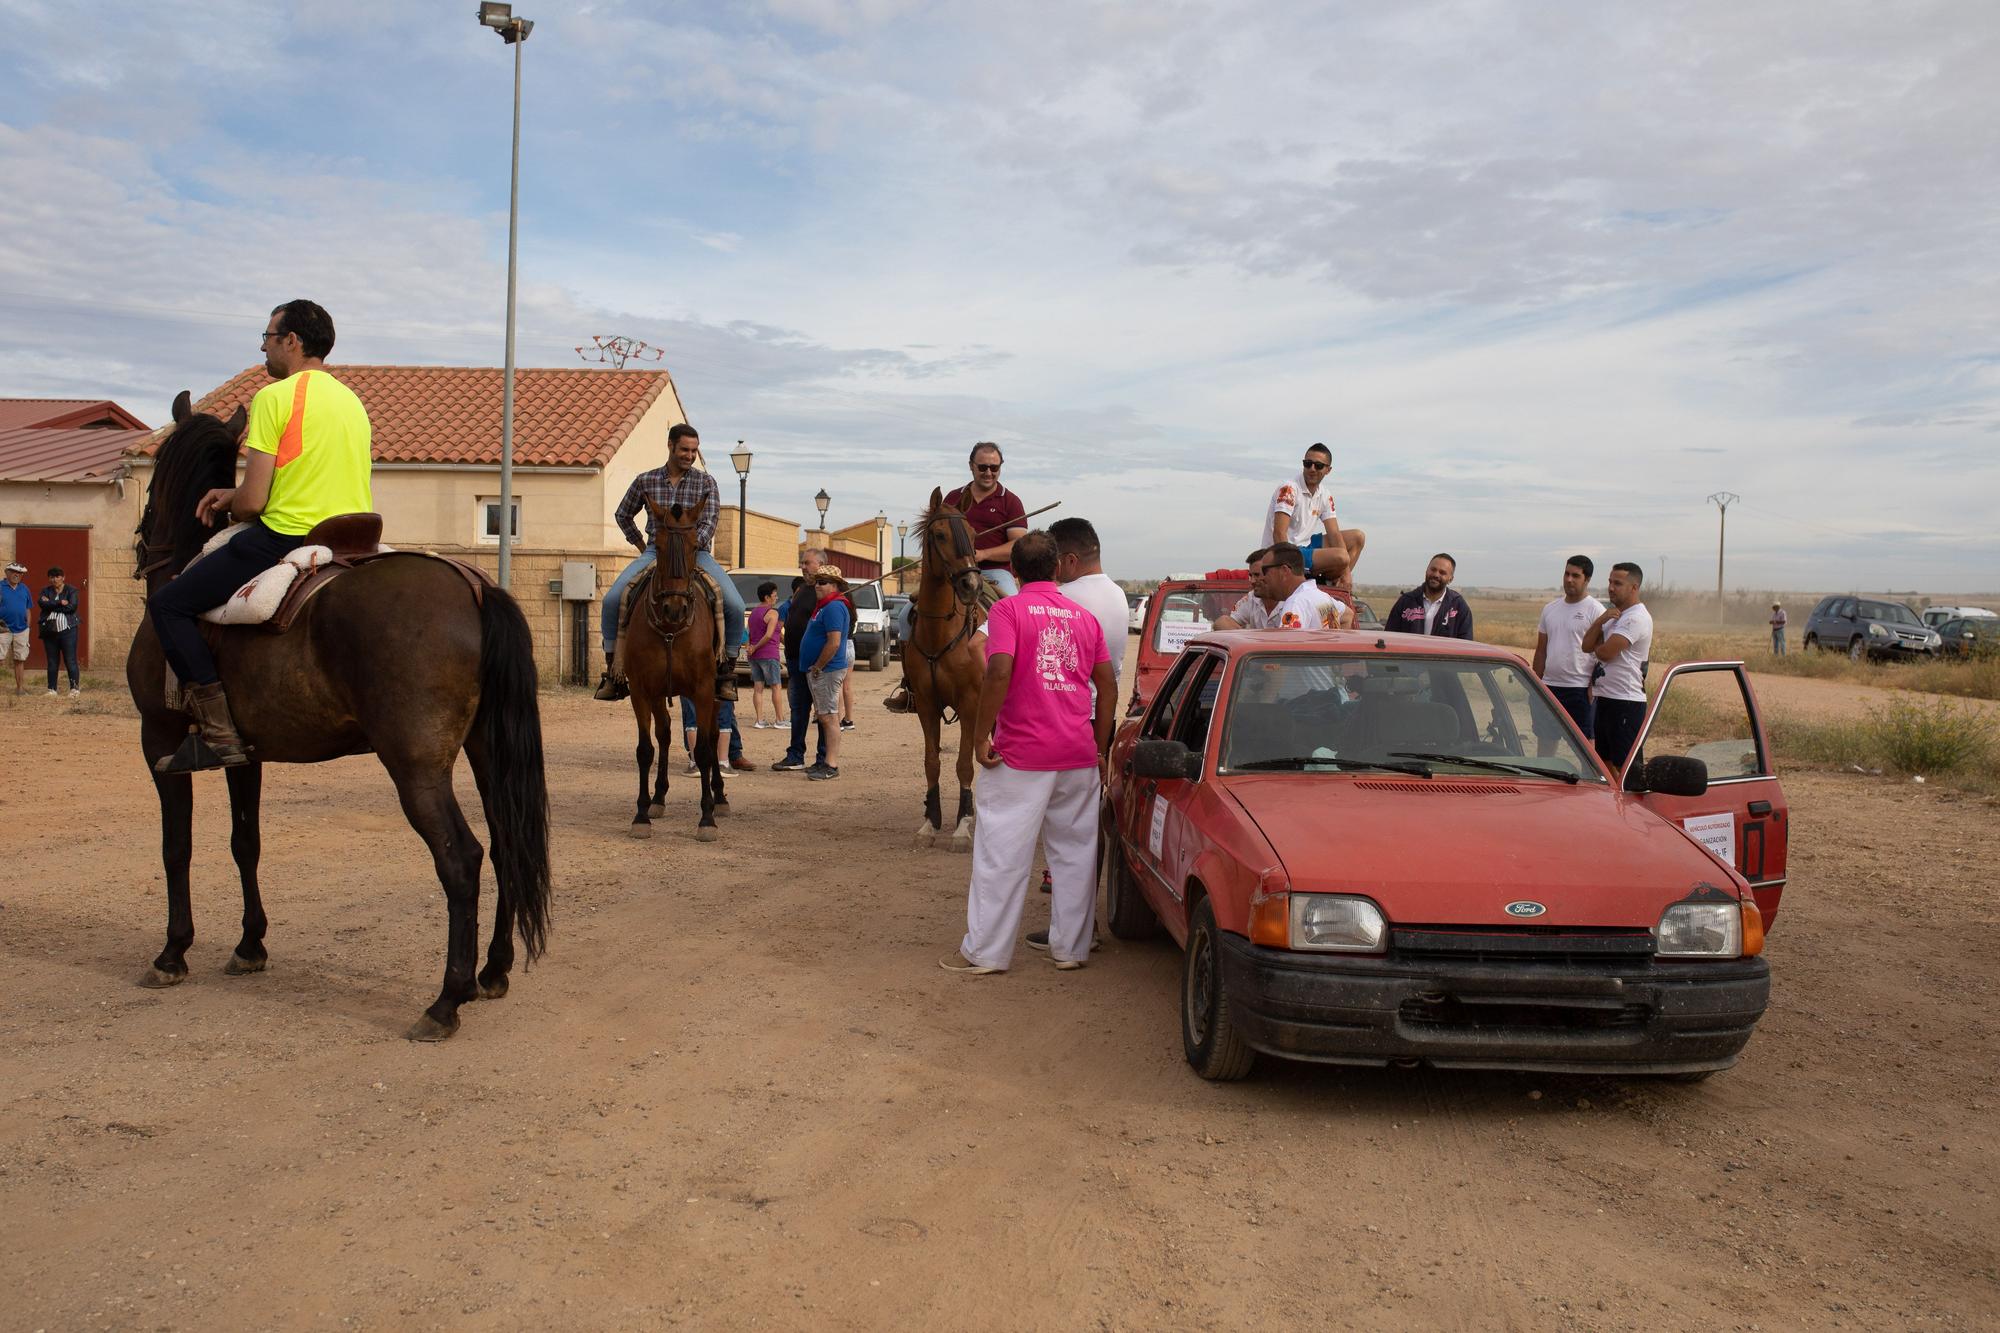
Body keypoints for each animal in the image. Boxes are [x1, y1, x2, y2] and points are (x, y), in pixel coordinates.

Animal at [128, 392, 552, 1040]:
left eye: (152, 484)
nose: (141, 541)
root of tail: (473, 587)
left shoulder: (160, 741)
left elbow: (177, 846)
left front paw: (173, 952)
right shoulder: (243, 755)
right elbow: (245, 842)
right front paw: (250, 945)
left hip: (415, 767)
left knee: (461, 859)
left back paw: (446, 1000)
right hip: (487, 752)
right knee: (507, 845)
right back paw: (493, 969)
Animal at [624, 498, 736, 840]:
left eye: (694, 546)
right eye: (658, 546)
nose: (675, 608)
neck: (671, 629)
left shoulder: (702, 691)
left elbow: (703, 750)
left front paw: (707, 818)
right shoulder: (642, 691)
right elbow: (645, 749)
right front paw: (641, 814)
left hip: (715, 695)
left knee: (712, 737)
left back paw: (720, 797)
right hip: (660, 695)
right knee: (664, 734)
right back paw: (658, 799)